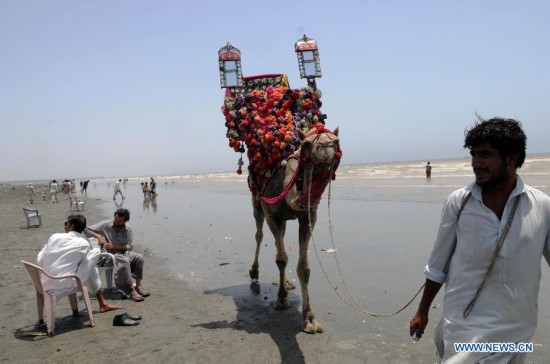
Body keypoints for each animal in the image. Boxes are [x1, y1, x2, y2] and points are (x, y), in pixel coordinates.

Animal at [250, 124, 340, 332]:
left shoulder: (308, 217)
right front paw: (281, 300)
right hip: (257, 204)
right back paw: (254, 271)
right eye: (306, 143)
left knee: (279, 239)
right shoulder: (271, 214)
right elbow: (281, 259)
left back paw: (287, 282)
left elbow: (304, 268)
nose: (325, 146)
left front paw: (309, 319)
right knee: (259, 235)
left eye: (336, 141)